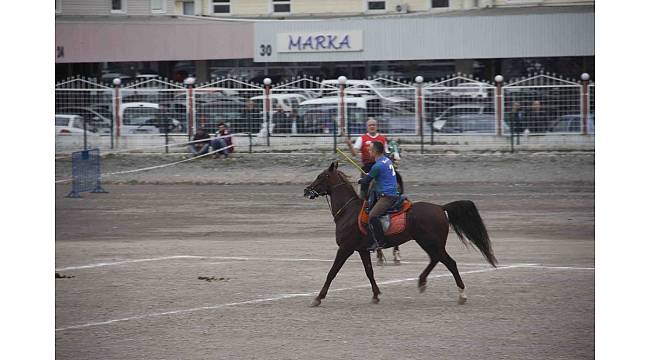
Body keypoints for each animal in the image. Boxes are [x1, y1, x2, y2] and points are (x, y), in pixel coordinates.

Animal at [304, 162, 496, 306]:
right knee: (436, 259)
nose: (306, 190)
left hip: (431, 242)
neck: (348, 211)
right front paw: (376, 294)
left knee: (450, 263)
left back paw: (461, 294)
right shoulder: (362, 250)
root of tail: (441, 208)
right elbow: (369, 272)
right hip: (427, 242)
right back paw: (422, 281)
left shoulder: (345, 248)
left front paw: (318, 298)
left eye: (321, 176)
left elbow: (332, 272)